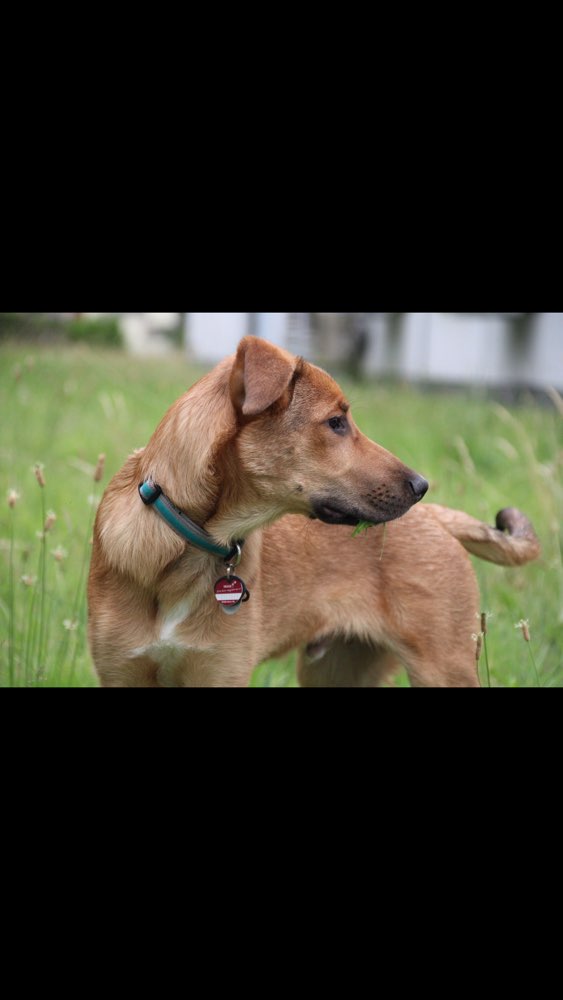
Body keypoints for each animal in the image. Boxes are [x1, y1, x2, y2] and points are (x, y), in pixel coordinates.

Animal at [88, 336, 540, 688]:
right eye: (336, 422)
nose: (421, 486)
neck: (183, 545)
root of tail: (439, 517)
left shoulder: (220, 673)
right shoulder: (123, 671)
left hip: (443, 668)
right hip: (338, 670)